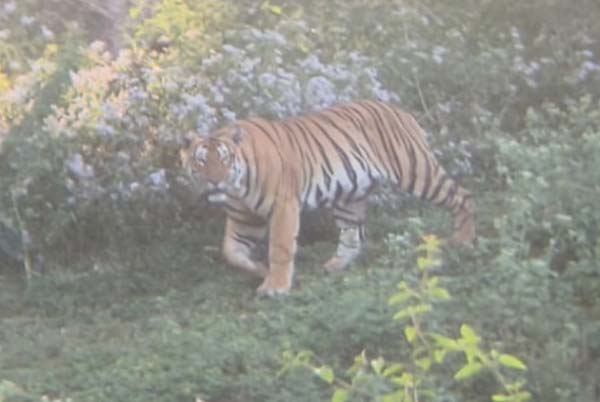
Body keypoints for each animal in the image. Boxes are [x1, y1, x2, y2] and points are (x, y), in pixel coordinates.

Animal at [181, 100, 475, 296]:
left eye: (224, 160)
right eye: (201, 161)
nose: (214, 181)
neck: (238, 187)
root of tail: (398, 109)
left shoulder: (283, 206)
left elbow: (280, 248)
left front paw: (275, 286)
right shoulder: (244, 217)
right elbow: (231, 251)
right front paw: (260, 270)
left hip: (416, 171)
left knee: (462, 196)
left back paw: (463, 240)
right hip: (350, 197)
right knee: (352, 237)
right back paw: (335, 265)